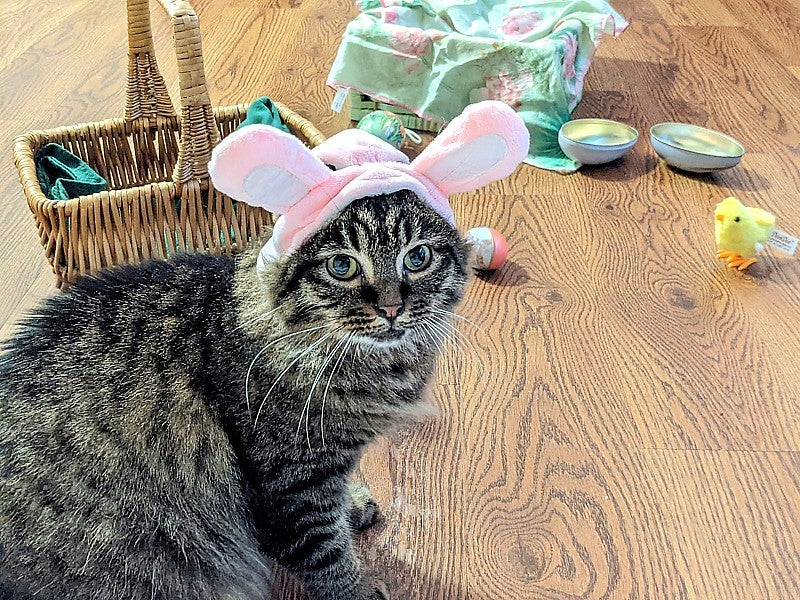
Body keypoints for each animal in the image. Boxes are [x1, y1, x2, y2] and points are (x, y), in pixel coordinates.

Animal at [0, 193, 468, 600]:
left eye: (418, 258)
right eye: (342, 266)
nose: (391, 308)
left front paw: (352, 502)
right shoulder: (289, 490)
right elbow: (328, 557)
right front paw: (361, 591)